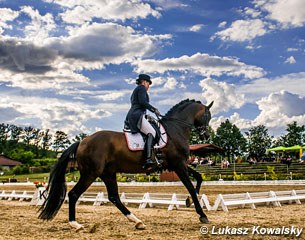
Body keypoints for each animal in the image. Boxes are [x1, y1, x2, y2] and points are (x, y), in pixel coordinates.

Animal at [38, 99, 211, 231]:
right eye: (207, 116)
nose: (206, 135)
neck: (175, 129)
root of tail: (82, 142)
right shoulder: (178, 164)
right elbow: (191, 186)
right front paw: (202, 215)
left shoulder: (177, 164)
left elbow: (199, 177)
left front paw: (189, 201)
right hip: (91, 173)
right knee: (74, 194)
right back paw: (76, 224)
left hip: (107, 173)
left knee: (114, 197)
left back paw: (137, 221)